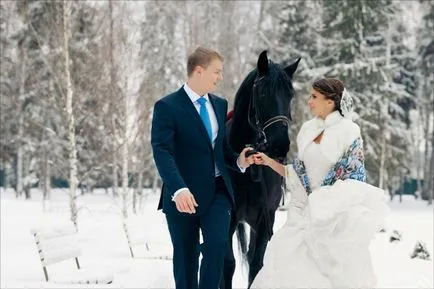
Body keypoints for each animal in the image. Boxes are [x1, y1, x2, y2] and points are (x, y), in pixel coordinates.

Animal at [220, 50, 298, 286]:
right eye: (263, 93)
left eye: (290, 95)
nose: (280, 145)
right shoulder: (227, 219)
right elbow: (227, 265)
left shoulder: (265, 220)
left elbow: (256, 266)